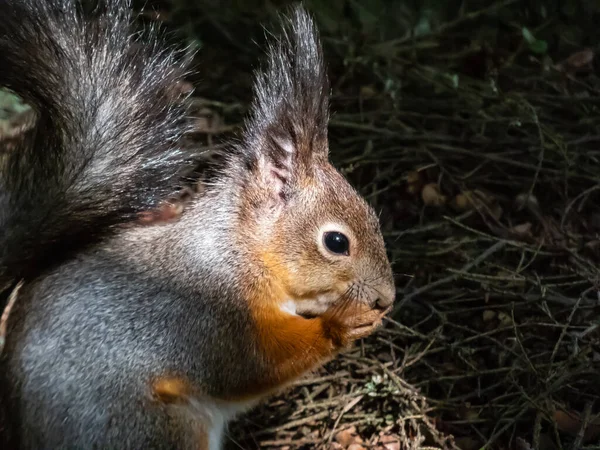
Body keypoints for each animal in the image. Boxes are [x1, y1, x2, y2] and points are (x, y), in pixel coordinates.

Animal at [0, 1, 396, 448]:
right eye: (336, 242)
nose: (386, 298)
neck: (241, 250)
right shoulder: (207, 313)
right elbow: (250, 367)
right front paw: (343, 322)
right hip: (151, 428)